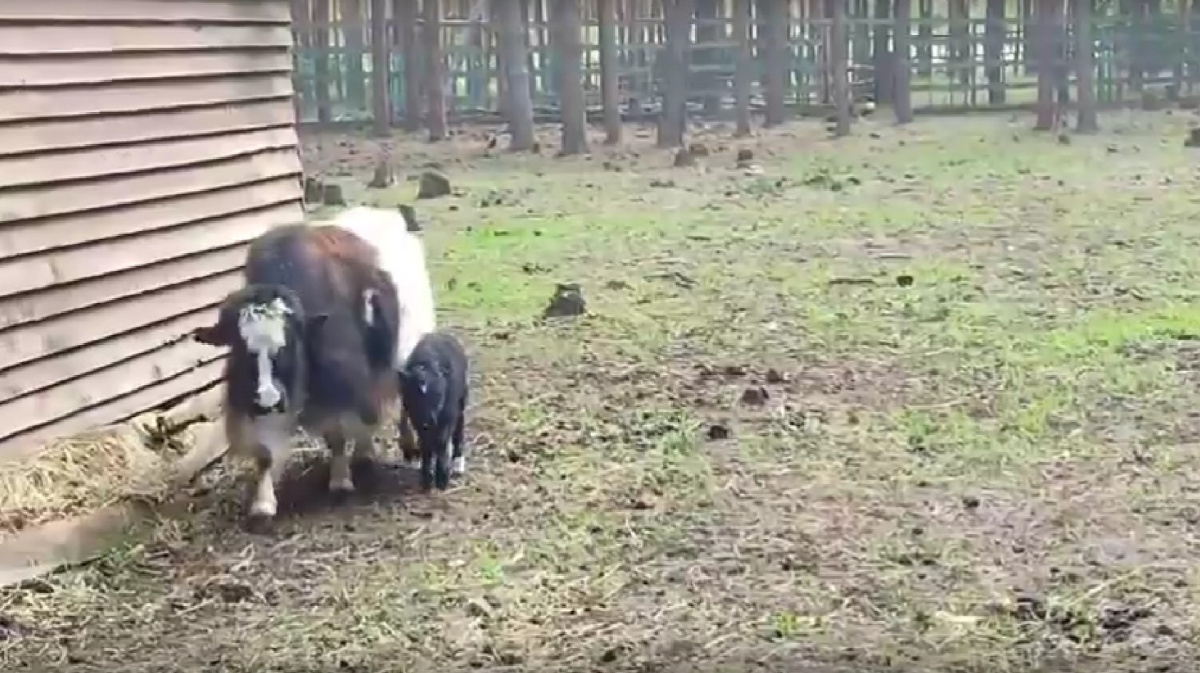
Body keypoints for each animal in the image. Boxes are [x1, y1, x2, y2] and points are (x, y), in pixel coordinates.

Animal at [194, 223, 400, 523]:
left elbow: (338, 434)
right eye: (240, 346)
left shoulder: (337, 384)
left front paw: (340, 481)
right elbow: (266, 454)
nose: (268, 399)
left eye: (289, 343)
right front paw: (263, 505)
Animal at [396, 328, 465, 487]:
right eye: (413, 395)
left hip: (463, 398)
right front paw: (426, 477)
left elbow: (441, 441)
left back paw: (458, 462)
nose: (429, 420)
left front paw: (442, 477)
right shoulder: (415, 417)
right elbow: (425, 444)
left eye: (439, 394)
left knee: (459, 425)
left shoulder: (448, 413)